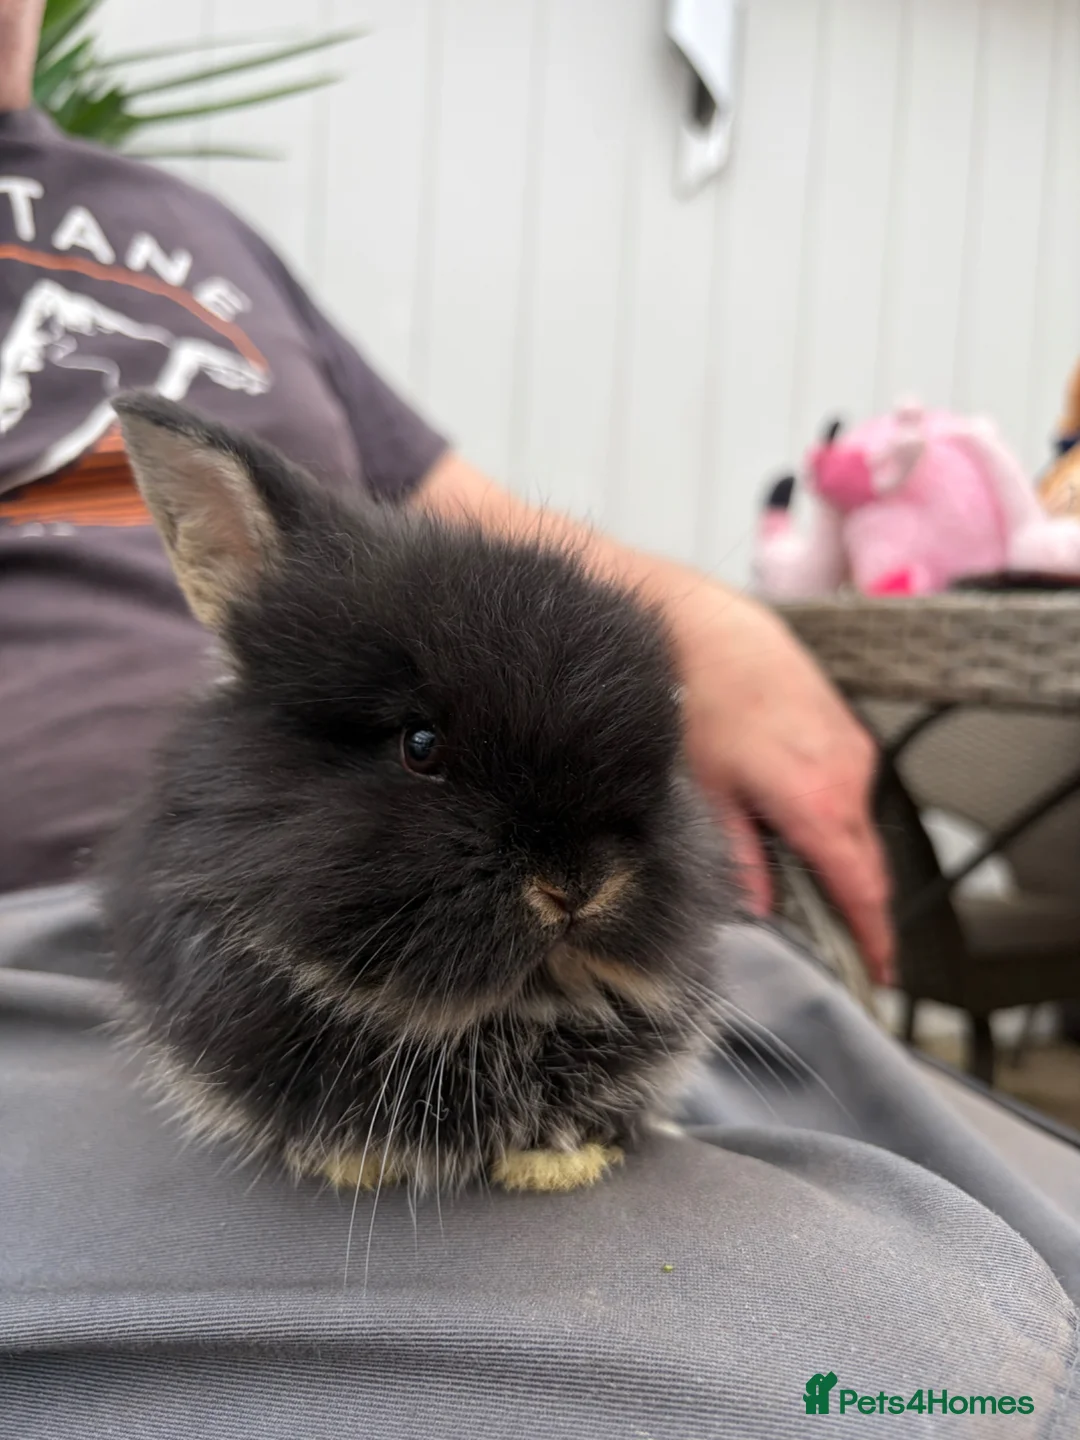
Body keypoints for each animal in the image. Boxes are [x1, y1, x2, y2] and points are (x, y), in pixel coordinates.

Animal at [104, 393, 732, 1196]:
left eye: (670, 739)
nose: (578, 885)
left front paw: (562, 1162)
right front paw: (356, 1166)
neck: (510, 1021)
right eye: (419, 744)